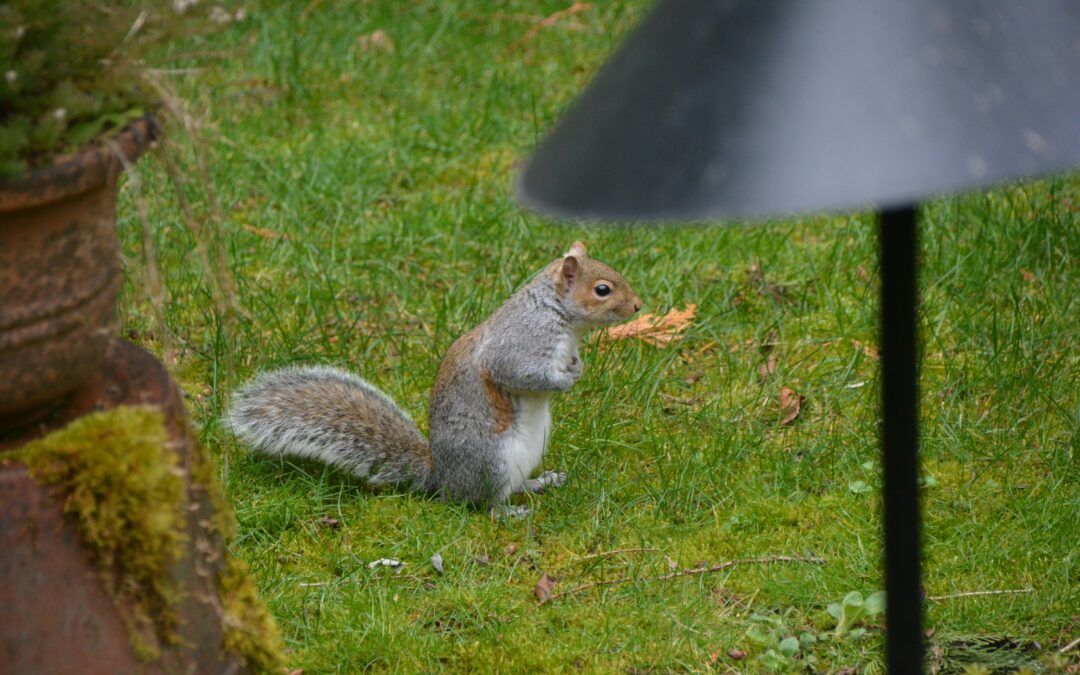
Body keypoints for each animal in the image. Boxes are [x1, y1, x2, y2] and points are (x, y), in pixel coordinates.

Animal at [228, 242, 641, 515]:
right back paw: (508, 511)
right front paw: (564, 382)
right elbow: (519, 374)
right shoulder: (519, 343)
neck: (556, 314)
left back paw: (540, 482)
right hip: (491, 461)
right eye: (602, 290)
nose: (638, 306)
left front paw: (577, 368)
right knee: (482, 504)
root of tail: (442, 479)